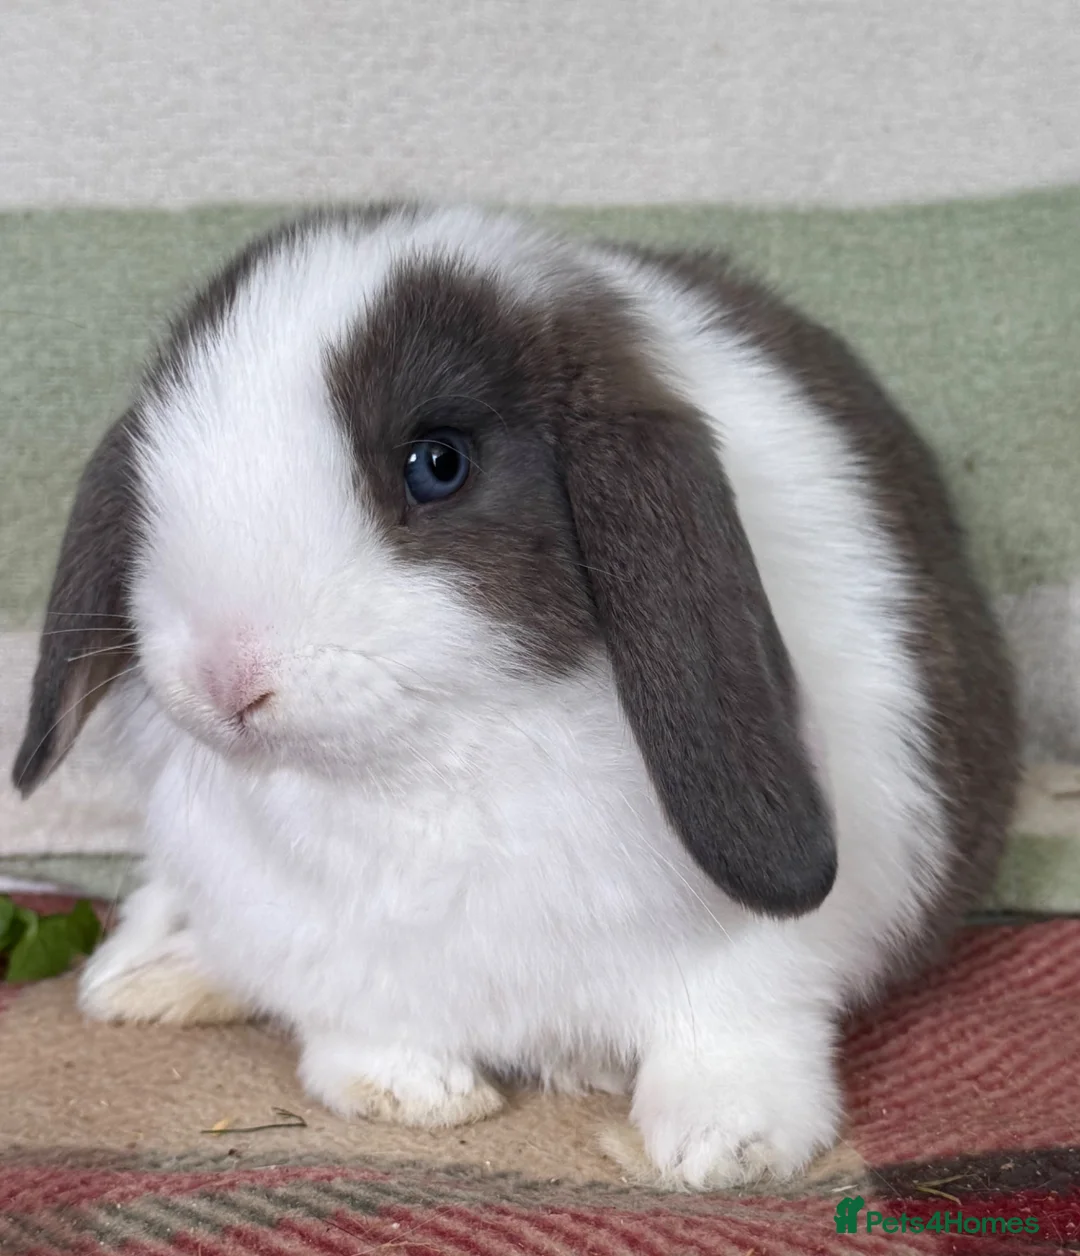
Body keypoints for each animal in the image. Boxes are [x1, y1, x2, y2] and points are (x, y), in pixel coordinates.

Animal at [12, 203, 1018, 1189]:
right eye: (156, 451)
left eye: (437, 463)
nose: (224, 677)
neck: (431, 767)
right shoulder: (333, 957)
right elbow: (360, 1036)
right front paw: (415, 1095)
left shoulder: (757, 966)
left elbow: (731, 1033)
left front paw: (726, 1148)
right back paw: (141, 979)